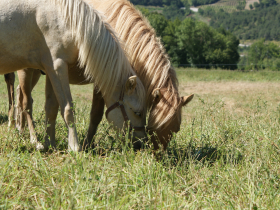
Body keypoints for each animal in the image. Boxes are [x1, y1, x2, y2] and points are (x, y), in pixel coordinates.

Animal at [0, 0, 147, 151]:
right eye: (138, 112)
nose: (141, 143)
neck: (65, 20)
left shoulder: (51, 69)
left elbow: (51, 108)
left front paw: (50, 143)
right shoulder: (58, 67)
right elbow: (68, 109)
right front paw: (74, 146)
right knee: (26, 104)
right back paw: (35, 141)